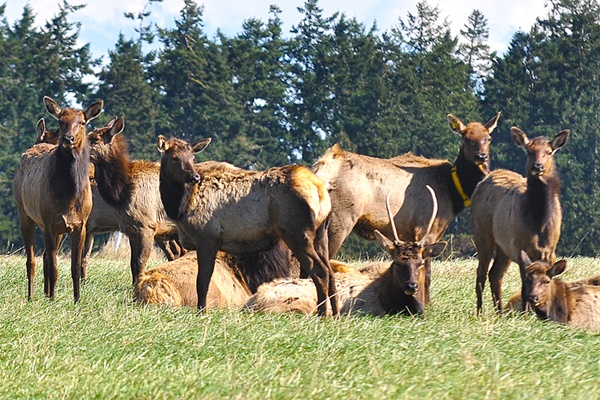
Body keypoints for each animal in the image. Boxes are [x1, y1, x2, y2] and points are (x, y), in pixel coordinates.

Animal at [13, 97, 102, 302]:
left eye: (82, 122)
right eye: (61, 121)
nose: (68, 139)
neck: (69, 197)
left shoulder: (80, 225)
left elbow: (75, 268)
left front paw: (77, 300)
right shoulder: (48, 222)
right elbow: (53, 267)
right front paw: (52, 300)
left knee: (44, 258)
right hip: (24, 213)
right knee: (31, 260)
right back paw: (31, 297)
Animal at [157, 136, 340, 318]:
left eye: (192, 157)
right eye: (174, 157)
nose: (194, 177)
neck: (181, 207)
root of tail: (321, 192)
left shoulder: (207, 237)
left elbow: (202, 281)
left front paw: (201, 312)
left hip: (296, 233)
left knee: (320, 271)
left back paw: (322, 314)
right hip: (321, 233)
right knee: (331, 272)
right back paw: (336, 314)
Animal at [314, 111, 502, 300]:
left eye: (488, 138)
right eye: (466, 138)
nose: (481, 156)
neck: (453, 193)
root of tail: (323, 169)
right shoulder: (425, 228)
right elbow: (426, 275)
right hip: (340, 219)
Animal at [472, 126, 568, 314]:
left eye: (549, 152)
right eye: (529, 151)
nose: (537, 166)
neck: (539, 222)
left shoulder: (551, 251)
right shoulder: (520, 247)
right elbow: (525, 285)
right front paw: (525, 314)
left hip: (503, 246)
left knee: (495, 274)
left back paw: (500, 313)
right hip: (483, 233)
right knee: (481, 275)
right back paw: (479, 312)